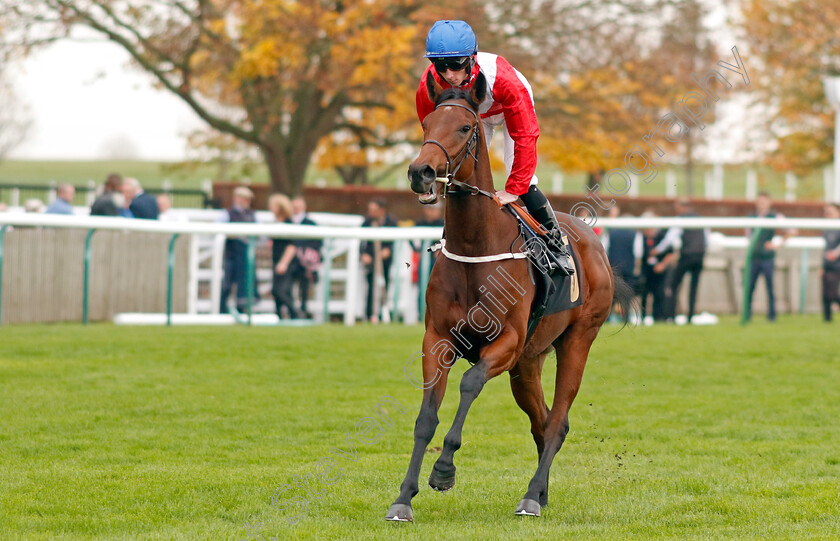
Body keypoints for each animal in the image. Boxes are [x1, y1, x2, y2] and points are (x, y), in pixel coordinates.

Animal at [386, 69, 632, 520]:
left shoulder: (507, 341)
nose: (421, 172)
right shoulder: (438, 340)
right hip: (528, 363)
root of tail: (594, 244)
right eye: (426, 124)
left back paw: (531, 497)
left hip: (576, 341)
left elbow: (469, 384)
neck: (475, 248)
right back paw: (542, 492)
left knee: (558, 421)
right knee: (542, 421)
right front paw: (403, 498)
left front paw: (443, 470)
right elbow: (425, 418)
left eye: (465, 128)